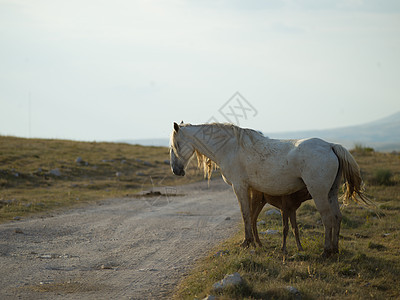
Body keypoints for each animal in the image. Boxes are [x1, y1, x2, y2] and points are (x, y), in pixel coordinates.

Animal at [170, 122, 372, 255]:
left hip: (319, 193)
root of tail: (330, 146)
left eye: (175, 145)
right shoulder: (251, 190)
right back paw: (335, 250)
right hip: (331, 193)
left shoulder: (240, 187)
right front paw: (254, 243)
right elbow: (250, 216)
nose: (176, 170)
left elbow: (245, 214)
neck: (231, 148)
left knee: (328, 218)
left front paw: (246, 243)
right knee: (337, 217)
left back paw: (326, 251)